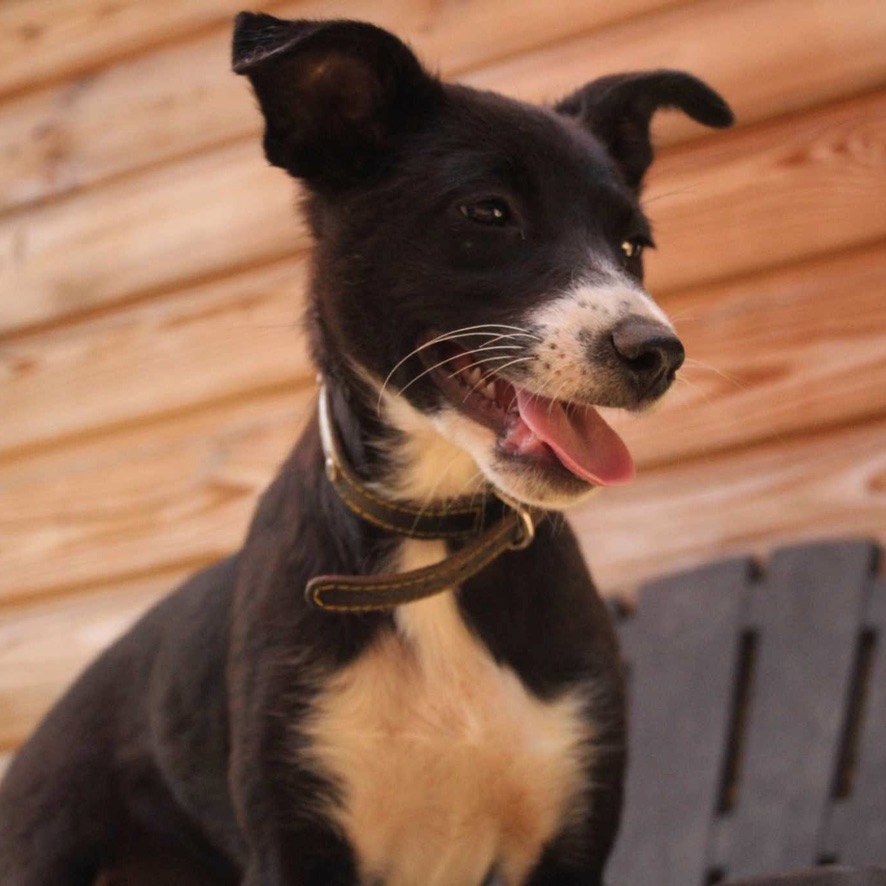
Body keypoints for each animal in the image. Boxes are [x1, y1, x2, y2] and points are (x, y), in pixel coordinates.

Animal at [0, 13, 736, 886]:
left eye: (632, 247)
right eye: (488, 213)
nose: (657, 353)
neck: (431, 541)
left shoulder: (570, 825)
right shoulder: (295, 833)